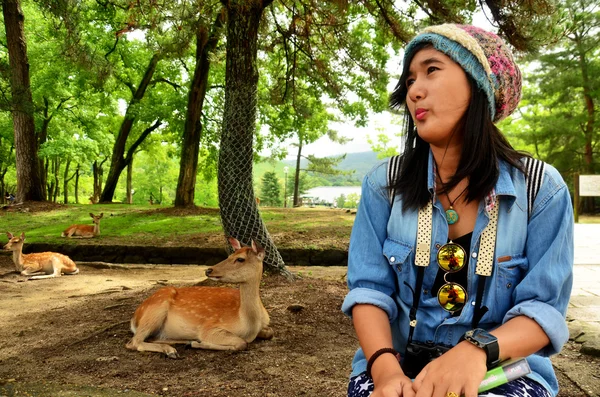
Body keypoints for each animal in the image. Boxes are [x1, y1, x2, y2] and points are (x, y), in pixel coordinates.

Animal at [125, 237, 274, 358]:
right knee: (134, 342)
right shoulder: (209, 327)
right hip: (155, 310)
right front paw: (197, 343)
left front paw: (193, 343)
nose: (208, 270)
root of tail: (134, 319)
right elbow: (242, 343)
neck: (249, 325)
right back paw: (172, 350)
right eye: (230, 255)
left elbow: (270, 332)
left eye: (240, 259)